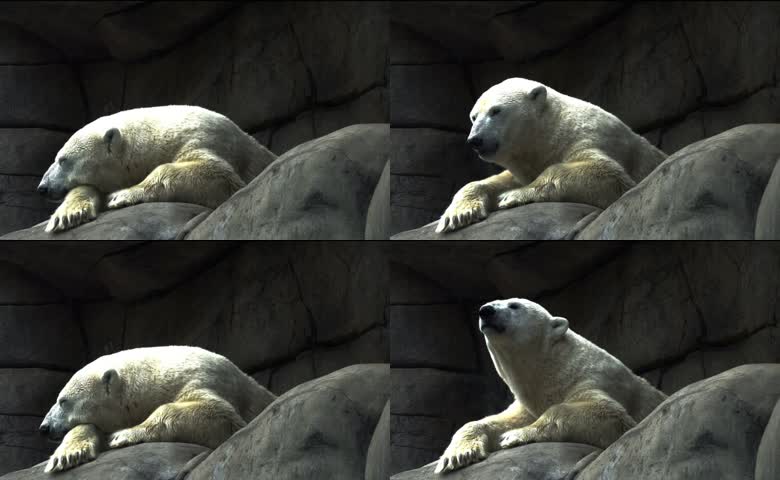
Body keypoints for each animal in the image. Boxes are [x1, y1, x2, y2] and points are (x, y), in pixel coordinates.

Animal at [36, 105, 277, 233]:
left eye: (63, 160)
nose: (42, 187)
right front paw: (68, 215)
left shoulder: (204, 138)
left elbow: (219, 176)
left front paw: (121, 195)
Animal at [39, 345, 276, 473]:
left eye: (63, 401)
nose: (44, 427)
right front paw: (67, 456)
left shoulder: (203, 379)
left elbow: (221, 416)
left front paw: (122, 435)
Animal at [434, 298, 667, 474]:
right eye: (491, 303)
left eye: (514, 305)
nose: (486, 310)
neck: (556, 367)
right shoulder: (529, 403)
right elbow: (495, 421)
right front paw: (459, 455)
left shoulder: (593, 379)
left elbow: (609, 415)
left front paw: (513, 436)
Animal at [435, 78, 667, 233]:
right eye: (474, 116)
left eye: (496, 110)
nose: (475, 140)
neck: (551, 130)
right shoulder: (526, 163)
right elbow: (492, 181)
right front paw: (459, 215)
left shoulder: (589, 138)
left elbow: (608, 175)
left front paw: (511, 196)